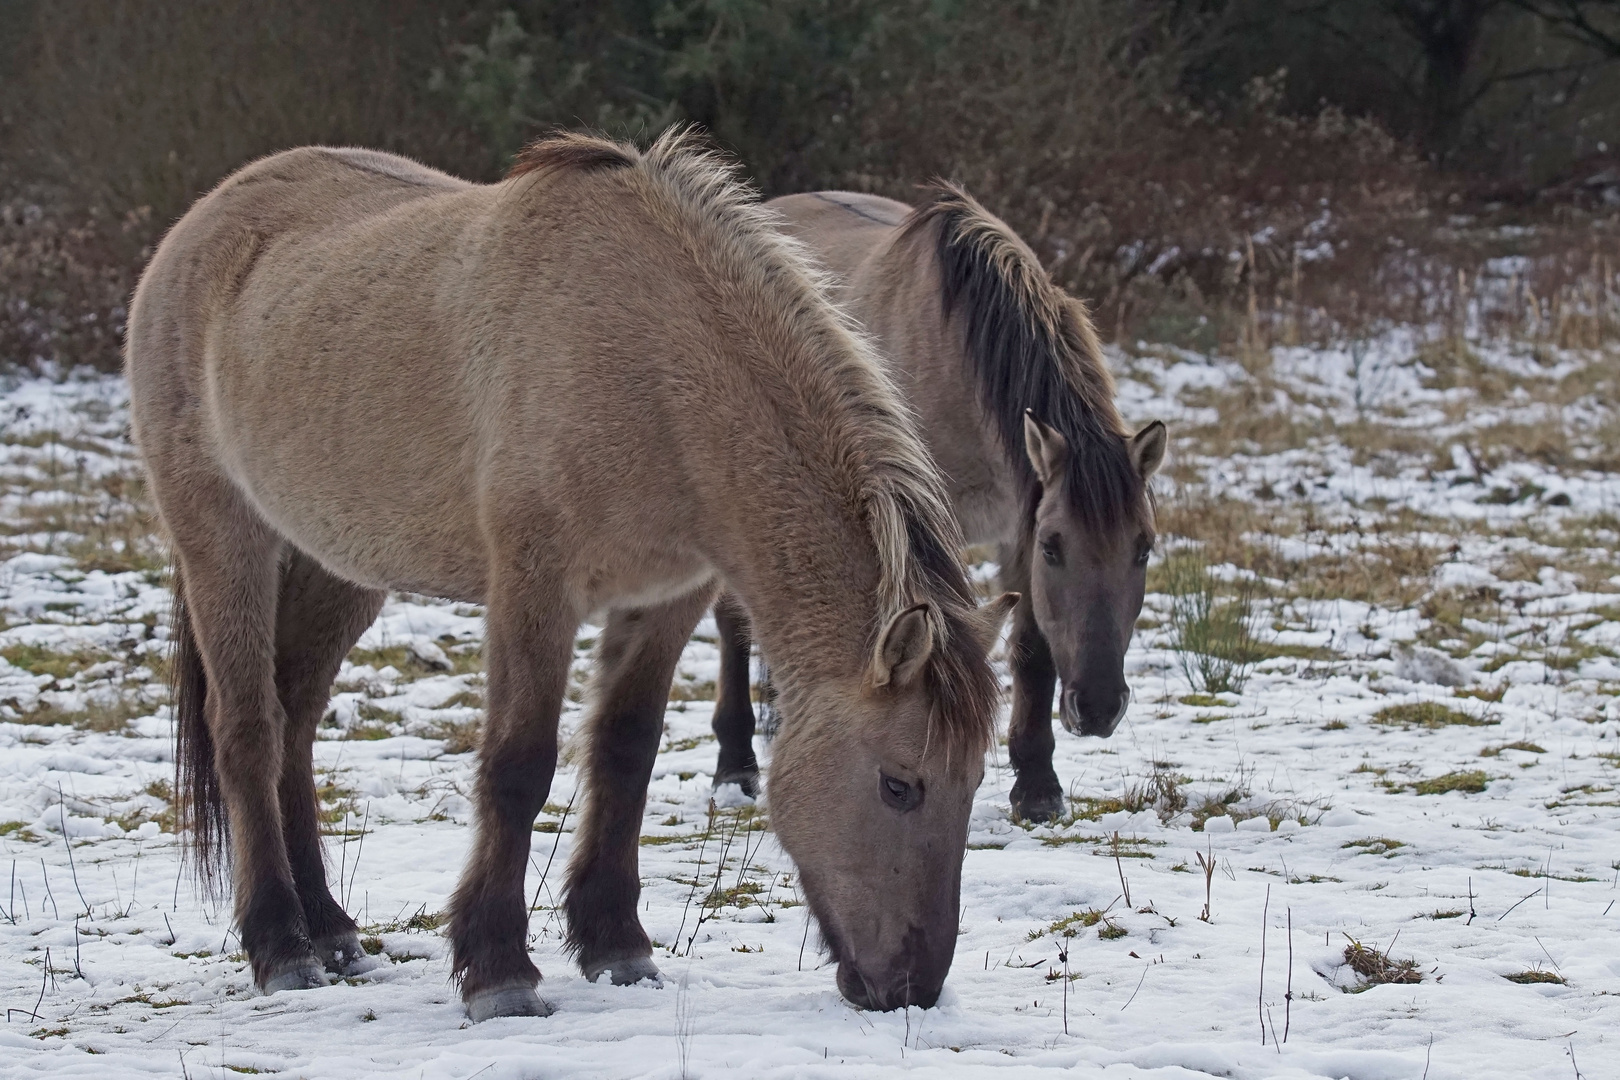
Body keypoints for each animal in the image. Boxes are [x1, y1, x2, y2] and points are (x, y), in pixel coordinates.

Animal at [129, 131, 1010, 1016]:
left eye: (973, 781)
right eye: (899, 785)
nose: (911, 987)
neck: (650, 366)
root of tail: (200, 225)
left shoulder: (666, 599)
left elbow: (626, 751)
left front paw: (617, 944)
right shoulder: (534, 591)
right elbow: (519, 766)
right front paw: (498, 970)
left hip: (336, 565)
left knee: (298, 721)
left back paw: (332, 929)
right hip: (225, 540)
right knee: (248, 729)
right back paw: (281, 945)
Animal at [712, 187, 1166, 829]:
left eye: (1143, 548)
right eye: (1056, 547)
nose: (1099, 708)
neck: (960, 356)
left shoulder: (1016, 520)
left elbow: (1032, 650)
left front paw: (1037, 786)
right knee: (733, 621)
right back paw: (735, 766)